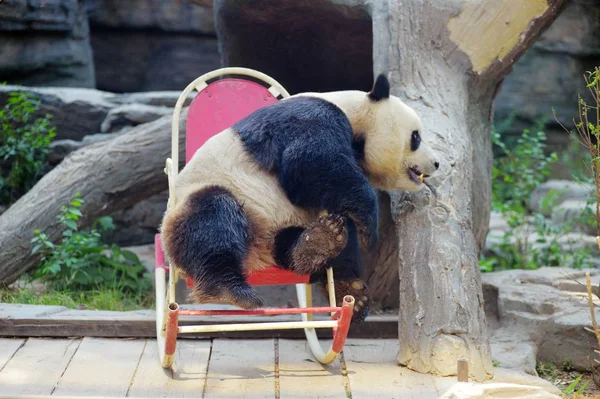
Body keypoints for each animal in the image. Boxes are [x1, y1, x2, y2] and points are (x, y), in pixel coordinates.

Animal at [162, 72, 438, 322]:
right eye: (416, 137)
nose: (436, 163)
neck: (354, 111)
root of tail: (256, 258)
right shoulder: (313, 117)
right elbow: (309, 163)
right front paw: (370, 228)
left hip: (283, 226)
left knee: (300, 242)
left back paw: (325, 256)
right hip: (200, 202)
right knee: (213, 218)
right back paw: (229, 289)